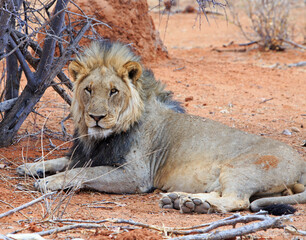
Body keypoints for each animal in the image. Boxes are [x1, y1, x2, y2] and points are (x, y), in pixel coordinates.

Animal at [17, 40, 306, 215]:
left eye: (113, 91)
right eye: (88, 89)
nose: (96, 117)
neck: (98, 137)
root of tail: (302, 162)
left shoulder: (135, 175)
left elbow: (83, 173)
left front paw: (49, 182)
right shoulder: (85, 155)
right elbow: (63, 161)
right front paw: (30, 167)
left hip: (242, 168)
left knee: (237, 200)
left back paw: (191, 203)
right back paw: (184, 200)